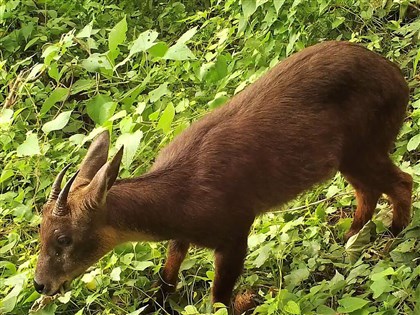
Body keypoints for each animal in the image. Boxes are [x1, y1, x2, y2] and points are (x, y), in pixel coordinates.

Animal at [35, 41, 410, 314]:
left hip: (365, 145)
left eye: (64, 238)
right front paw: (154, 304)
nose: (40, 284)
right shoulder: (183, 235)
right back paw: (349, 242)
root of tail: (399, 76)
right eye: (39, 230)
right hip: (349, 157)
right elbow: (166, 275)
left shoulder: (235, 228)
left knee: (403, 182)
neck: (180, 198)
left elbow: (218, 299)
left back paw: (390, 240)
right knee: (369, 192)